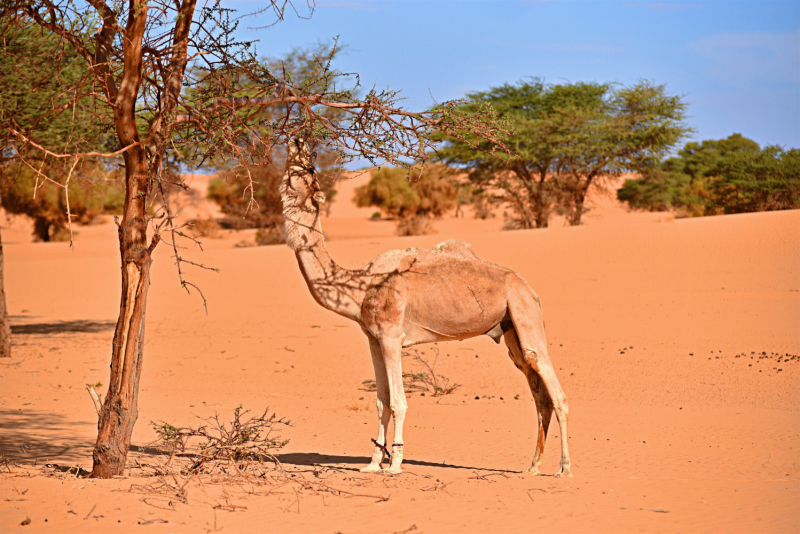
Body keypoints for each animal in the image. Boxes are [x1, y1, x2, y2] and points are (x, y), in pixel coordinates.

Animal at [278, 140, 572, 480]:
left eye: (309, 169)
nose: (298, 141)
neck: (360, 286)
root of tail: (529, 287)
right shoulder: (373, 339)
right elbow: (380, 402)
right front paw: (372, 464)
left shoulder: (392, 337)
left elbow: (398, 403)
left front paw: (394, 464)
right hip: (510, 327)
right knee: (538, 392)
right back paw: (533, 466)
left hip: (525, 311)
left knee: (554, 389)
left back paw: (564, 469)